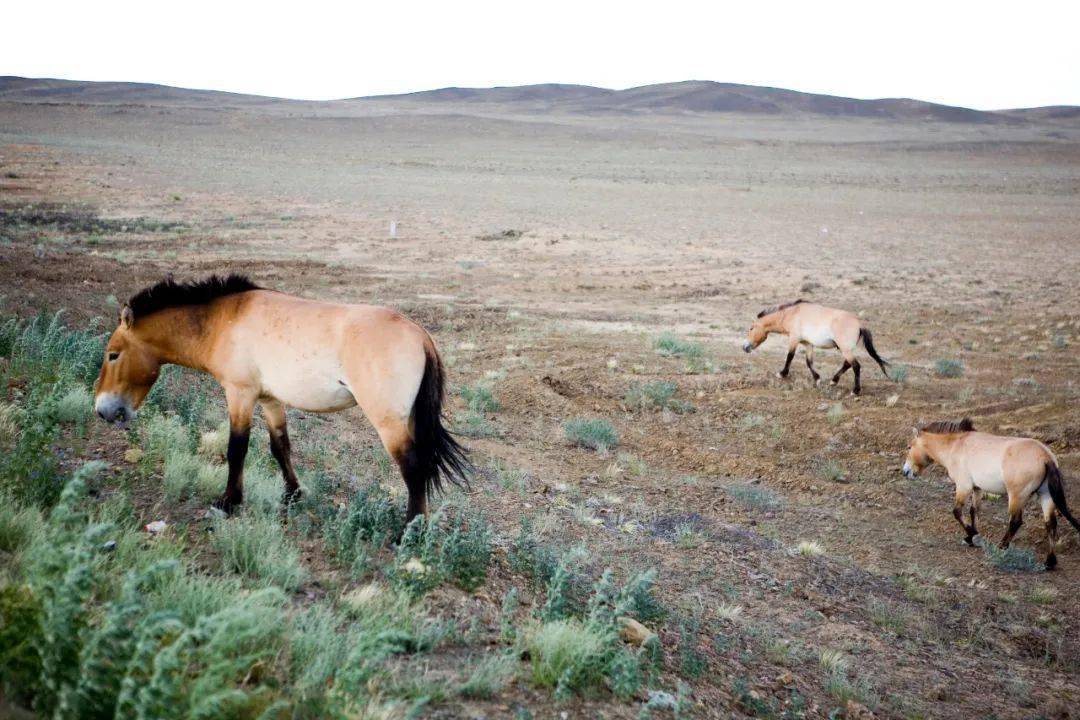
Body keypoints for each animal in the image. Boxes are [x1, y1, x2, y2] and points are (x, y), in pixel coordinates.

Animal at [98, 273, 473, 520]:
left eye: (113, 354)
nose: (103, 410)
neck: (223, 321)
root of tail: (420, 335)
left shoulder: (240, 394)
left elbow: (237, 449)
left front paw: (228, 502)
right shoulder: (269, 399)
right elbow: (280, 447)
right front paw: (292, 495)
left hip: (389, 422)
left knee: (413, 466)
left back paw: (411, 529)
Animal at [738, 302, 889, 397]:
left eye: (751, 328)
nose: (745, 347)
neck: (792, 314)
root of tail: (859, 324)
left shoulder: (794, 339)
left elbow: (789, 356)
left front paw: (782, 374)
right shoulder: (808, 344)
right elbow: (808, 362)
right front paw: (817, 379)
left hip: (845, 349)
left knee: (856, 366)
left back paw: (855, 391)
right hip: (845, 349)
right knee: (847, 364)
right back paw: (833, 381)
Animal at [902, 418, 1080, 569]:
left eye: (909, 447)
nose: (905, 472)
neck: (956, 445)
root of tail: (1046, 457)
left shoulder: (963, 486)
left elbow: (957, 512)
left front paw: (973, 535)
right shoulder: (977, 488)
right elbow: (974, 511)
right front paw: (971, 538)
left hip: (1016, 496)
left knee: (1016, 521)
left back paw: (1001, 547)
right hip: (1045, 496)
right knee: (1050, 524)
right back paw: (1049, 562)